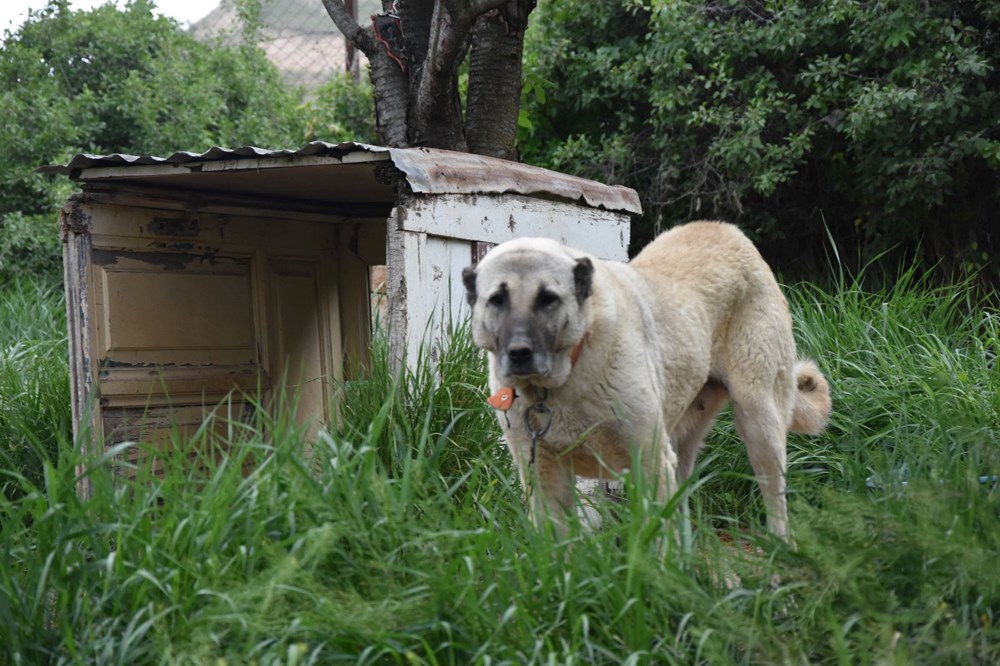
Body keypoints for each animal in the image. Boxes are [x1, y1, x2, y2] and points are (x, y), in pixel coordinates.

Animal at [460, 220, 828, 536]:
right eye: (497, 299)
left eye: (548, 299)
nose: (519, 352)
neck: (560, 384)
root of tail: (730, 232)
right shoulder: (543, 475)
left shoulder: (649, 461)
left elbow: (657, 538)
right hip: (682, 439)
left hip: (759, 421)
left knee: (775, 500)